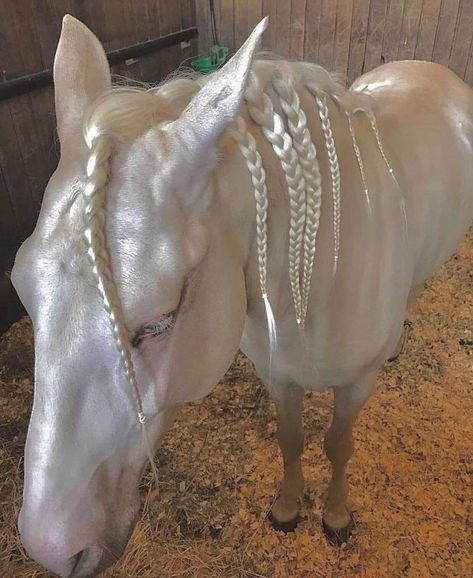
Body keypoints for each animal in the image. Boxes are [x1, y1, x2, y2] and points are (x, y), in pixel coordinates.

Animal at [11, 15, 472, 572]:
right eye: (22, 289)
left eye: (159, 322)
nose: (53, 551)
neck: (318, 280)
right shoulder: (278, 375)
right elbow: (291, 440)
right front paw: (288, 507)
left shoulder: (357, 384)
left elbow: (338, 446)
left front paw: (336, 515)